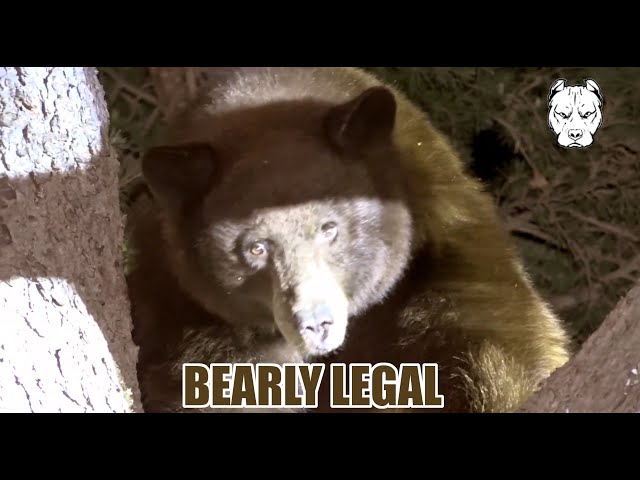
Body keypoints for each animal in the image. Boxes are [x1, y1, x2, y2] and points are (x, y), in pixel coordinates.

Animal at [125, 67, 571, 413]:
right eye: (256, 247)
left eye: (330, 227)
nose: (315, 322)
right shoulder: (176, 303)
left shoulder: (445, 250)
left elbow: (497, 345)